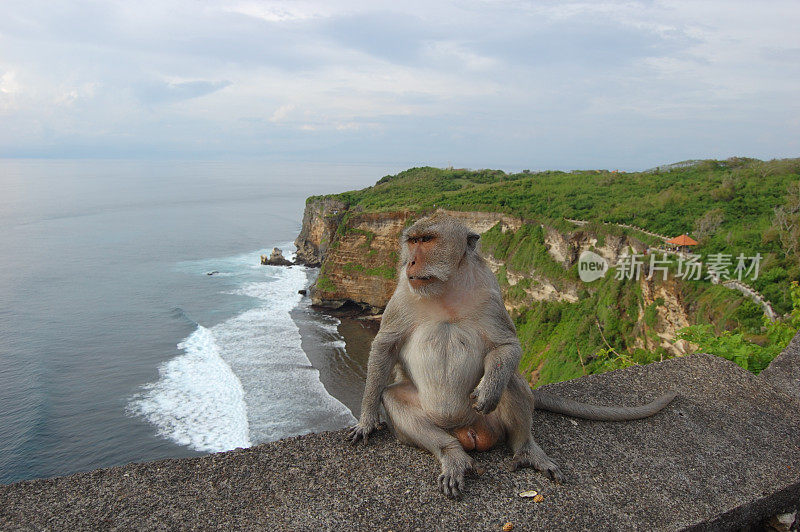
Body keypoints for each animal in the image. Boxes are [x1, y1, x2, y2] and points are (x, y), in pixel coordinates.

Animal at [346, 212, 680, 498]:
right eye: (412, 240)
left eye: (427, 240)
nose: (411, 261)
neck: (446, 289)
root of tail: (466, 431)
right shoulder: (403, 295)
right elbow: (386, 346)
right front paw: (367, 420)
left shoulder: (490, 292)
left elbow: (507, 347)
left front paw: (491, 388)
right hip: (438, 423)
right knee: (395, 399)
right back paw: (452, 455)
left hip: (488, 420)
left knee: (513, 381)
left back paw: (526, 448)